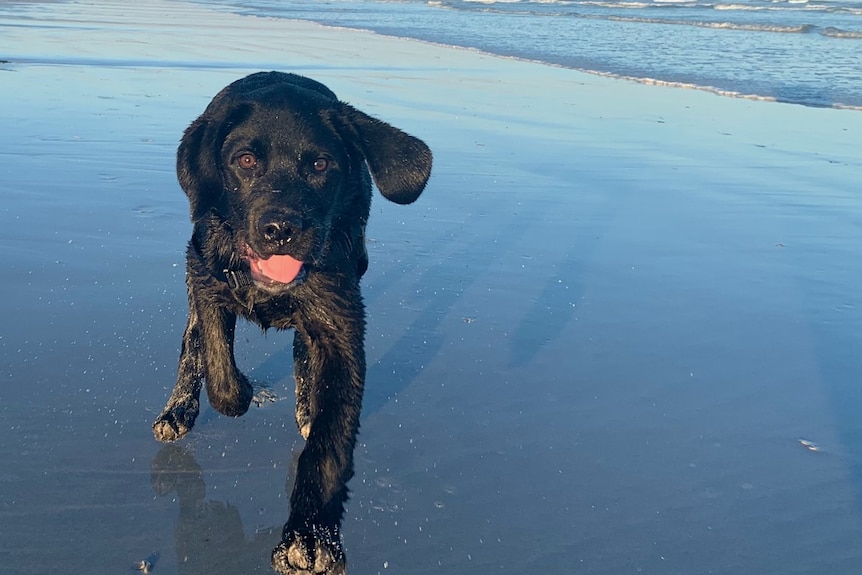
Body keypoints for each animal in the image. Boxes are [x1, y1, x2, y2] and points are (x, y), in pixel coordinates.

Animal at [154, 73, 432, 575]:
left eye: (320, 164)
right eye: (245, 161)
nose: (281, 229)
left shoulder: (342, 328)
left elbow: (328, 442)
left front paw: (311, 533)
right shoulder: (203, 272)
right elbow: (217, 361)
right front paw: (237, 391)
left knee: (303, 347)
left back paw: (305, 403)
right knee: (192, 338)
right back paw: (178, 407)